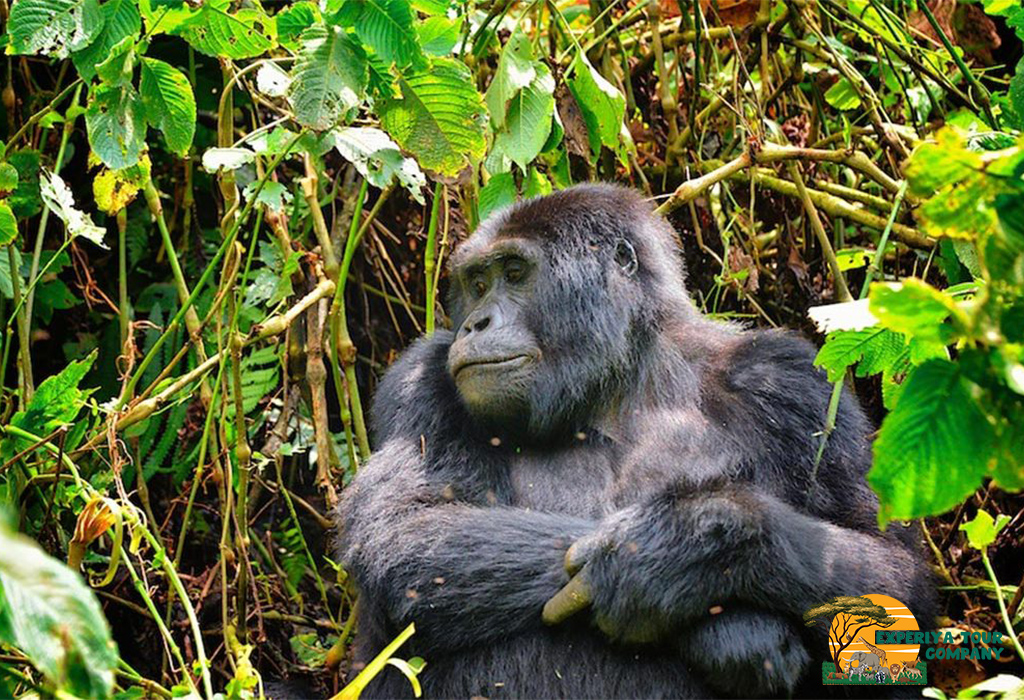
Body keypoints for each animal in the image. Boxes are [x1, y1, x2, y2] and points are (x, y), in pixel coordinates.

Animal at [337, 183, 935, 698]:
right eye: (478, 285)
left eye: (515, 273)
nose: (474, 324)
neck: (619, 383)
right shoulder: (420, 377)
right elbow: (407, 532)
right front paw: (727, 627)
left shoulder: (791, 382)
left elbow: (892, 574)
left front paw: (676, 550)